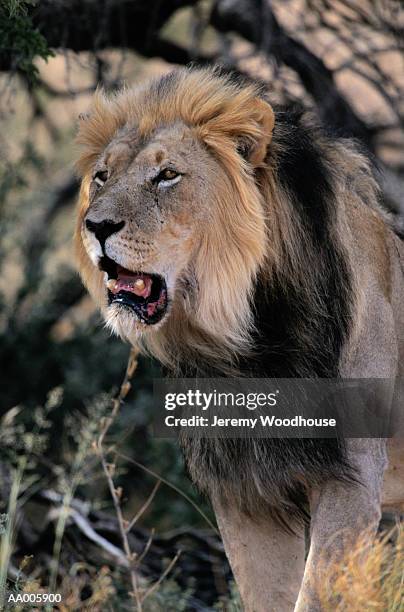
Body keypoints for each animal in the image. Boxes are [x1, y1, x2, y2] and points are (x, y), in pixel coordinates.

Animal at [75, 68, 404, 612]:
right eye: (102, 176)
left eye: (167, 176)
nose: (96, 225)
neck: (245, 344)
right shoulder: (243, 489)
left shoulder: (353, 479)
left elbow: (313, 597)